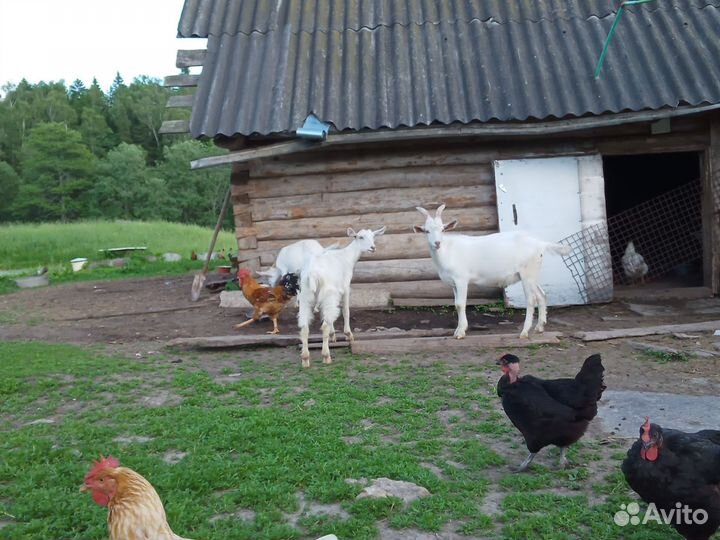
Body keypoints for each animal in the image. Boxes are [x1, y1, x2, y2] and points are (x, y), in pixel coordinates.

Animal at [297, 226, 386, 368]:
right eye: (360, 237)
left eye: (373, 236)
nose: (373, 247)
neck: (346, 257)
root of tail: (313, 275)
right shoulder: (345, 287)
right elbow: (346, 311)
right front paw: (348, 334)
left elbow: (326, 315)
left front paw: (333, 335)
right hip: (328, 294)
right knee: (324, 326)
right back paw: (326, 356)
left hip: (305, 297)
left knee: (305, 327)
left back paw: (305, 359)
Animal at [413, 204, 571, 339]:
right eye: (426, 231)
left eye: (443, 229)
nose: (437, 243)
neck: (448, 251)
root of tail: (540, 244)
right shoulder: (453, 284)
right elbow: (456, 304)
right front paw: (458, 330)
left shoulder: (461, 279)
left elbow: (460, 304)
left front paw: (461, 332)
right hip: (532, 274)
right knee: (541, 295)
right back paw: (539, 327)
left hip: (527, 273)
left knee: (531, 300)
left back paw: (524, 332)